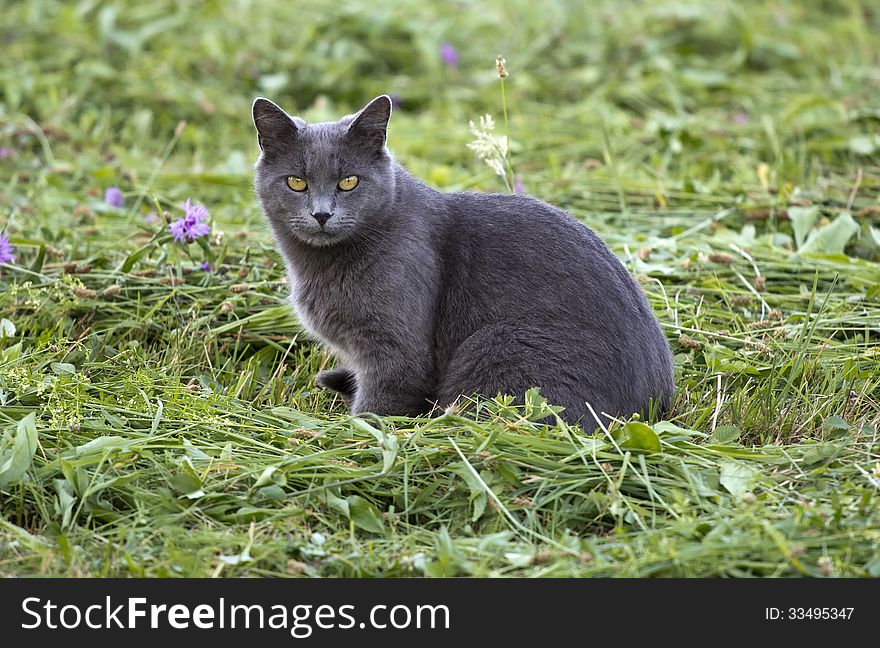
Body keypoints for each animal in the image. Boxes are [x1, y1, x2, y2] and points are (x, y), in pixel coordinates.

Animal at [251, 95, 676, 426]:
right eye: (297, 182)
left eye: (349, 181)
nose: (322, 214)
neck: (321, 264)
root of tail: (652, 406)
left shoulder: (396, 352)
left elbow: (381, 403)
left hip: (500, 345)